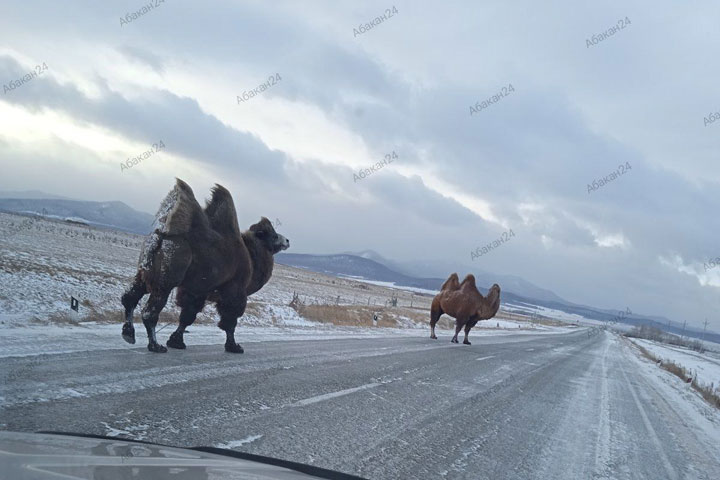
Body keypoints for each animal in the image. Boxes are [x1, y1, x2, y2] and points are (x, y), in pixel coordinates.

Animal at [119, 180, 288, 352]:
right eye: (274, 236)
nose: (287, 241)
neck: (251, 257)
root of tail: (162, 234)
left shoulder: (196, 290)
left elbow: (187, 316)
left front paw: (176, 341)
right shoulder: (234, 290)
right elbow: (229, 321)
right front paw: (234, 346)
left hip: (145, 273)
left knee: (129, 298)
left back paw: (129, 333)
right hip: (166, 279)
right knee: (150, 311)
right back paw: (155, 345)